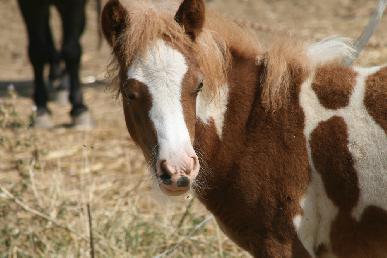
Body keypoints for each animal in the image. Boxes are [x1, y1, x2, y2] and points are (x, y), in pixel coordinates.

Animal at [17, 0, 102, 129]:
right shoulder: (29, 4)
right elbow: (37, 51)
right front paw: (41, 108)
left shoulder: (76, 4)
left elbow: (71, 50)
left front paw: (79, 108)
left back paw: (64, 86)